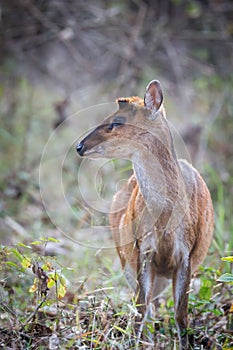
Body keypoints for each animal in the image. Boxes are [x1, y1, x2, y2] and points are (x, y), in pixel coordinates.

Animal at [76, 80, 213, 348]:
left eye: (116, 121)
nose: (80, 146)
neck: (166, 221)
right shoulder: (143, 249)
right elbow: (140, 309)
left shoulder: (186, 254)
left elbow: (181, 315)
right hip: (125, 260)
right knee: (147, 307)